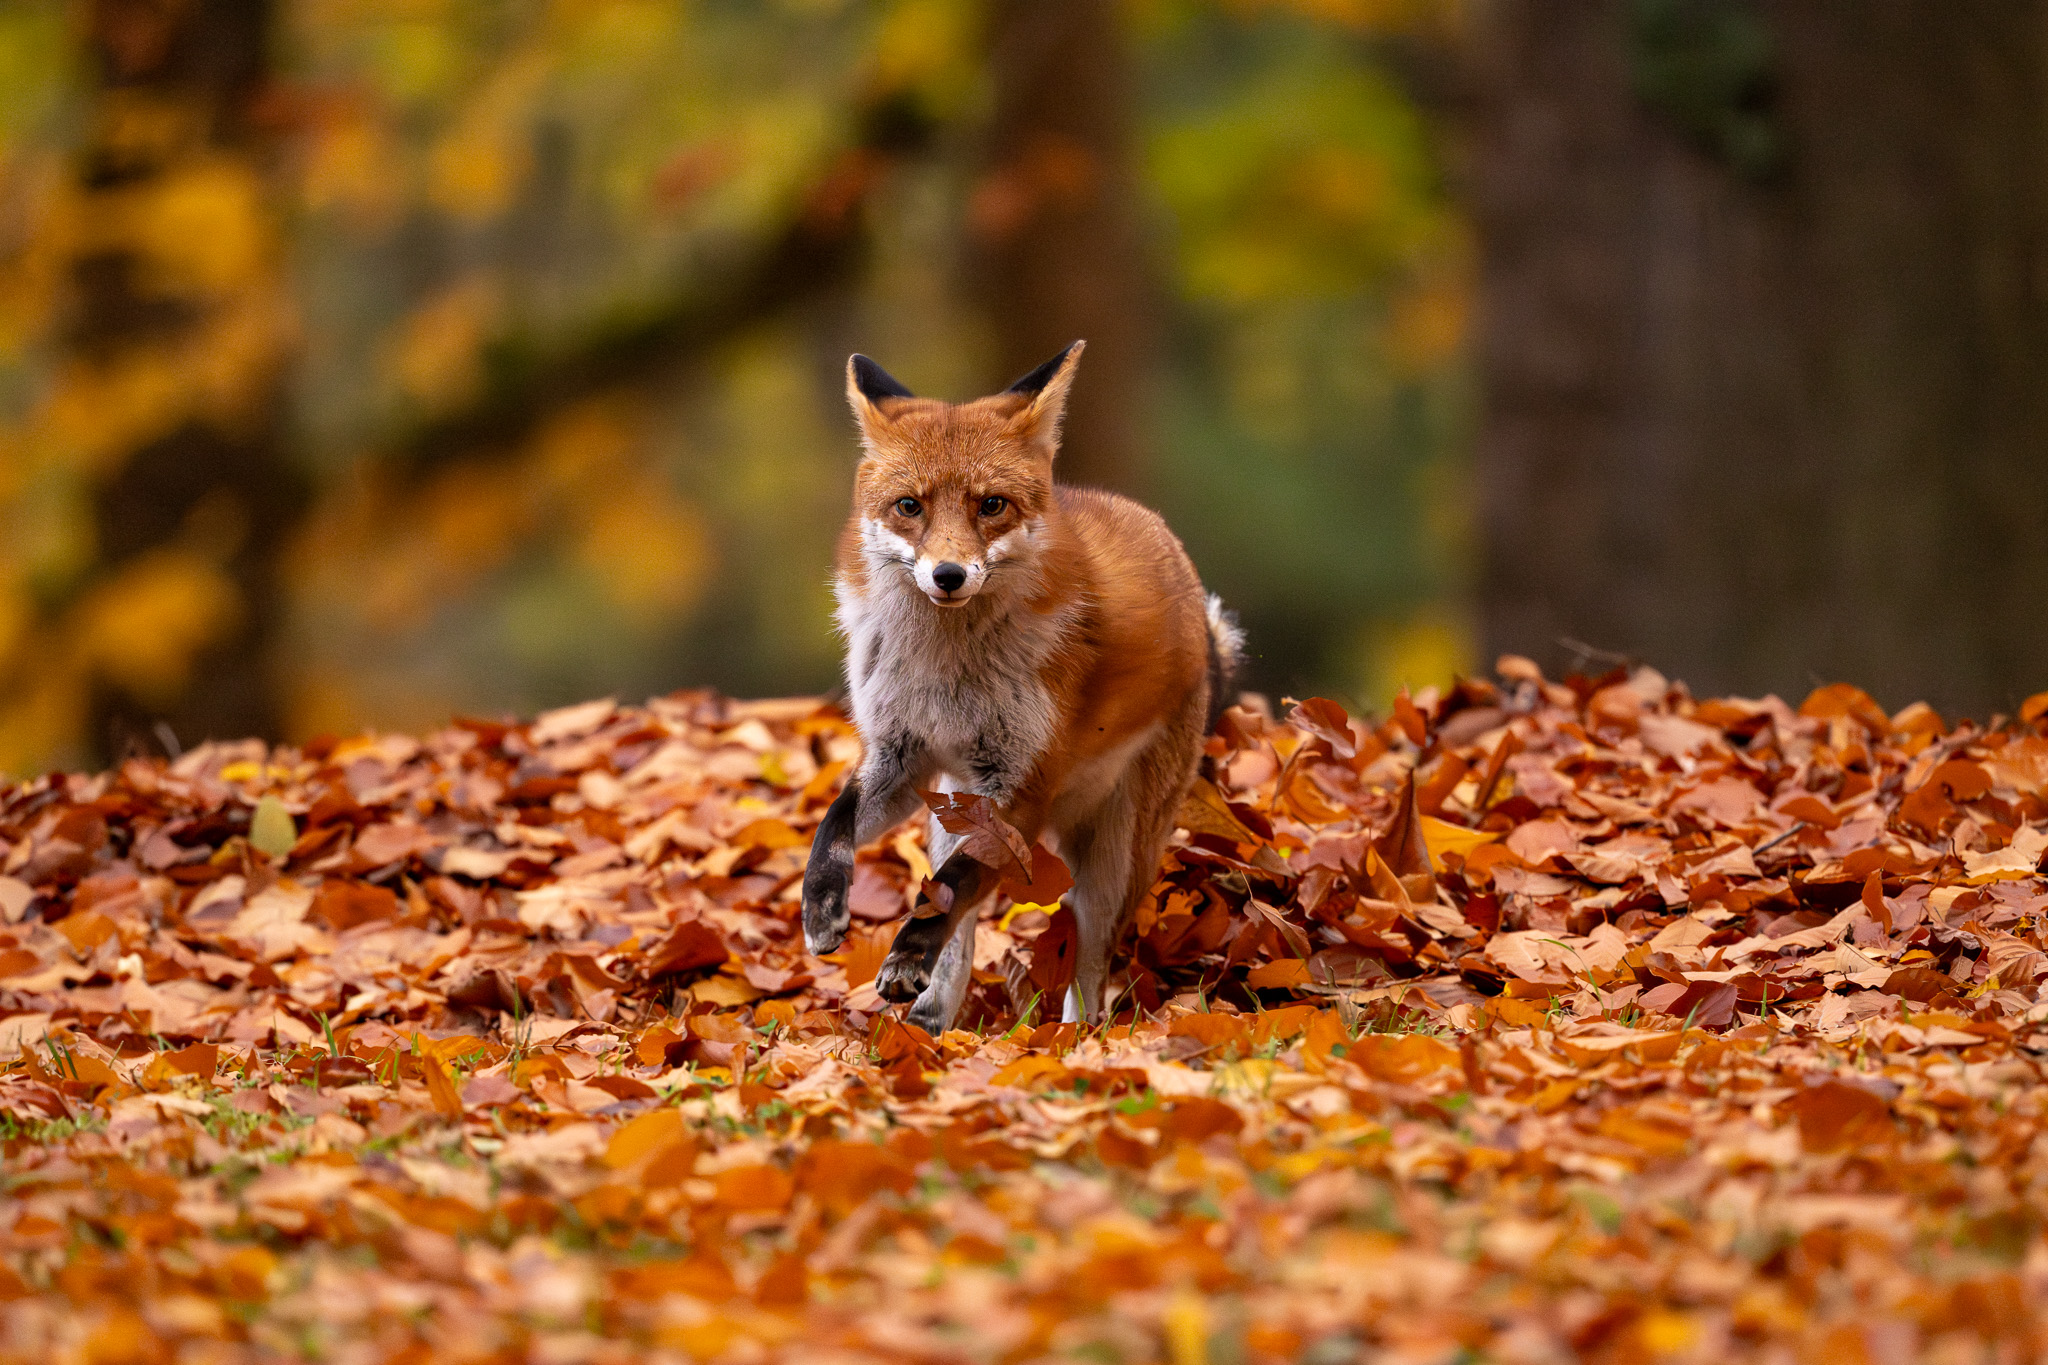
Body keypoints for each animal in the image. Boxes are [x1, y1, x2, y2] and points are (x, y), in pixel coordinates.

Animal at [801, 340, 1244, 1035]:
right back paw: (930, 1027)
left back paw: (1073, 1038)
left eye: (991, 505)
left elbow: (952, 886)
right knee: (960, 932)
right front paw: (822, 907)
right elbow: (836, 825)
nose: (949, 575)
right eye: (910, 506)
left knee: (1088, 965)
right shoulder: (900, 759)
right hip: (951, 806)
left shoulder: (1024, 787)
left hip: (1112, 866)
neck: (945, 675)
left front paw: (905, 955)